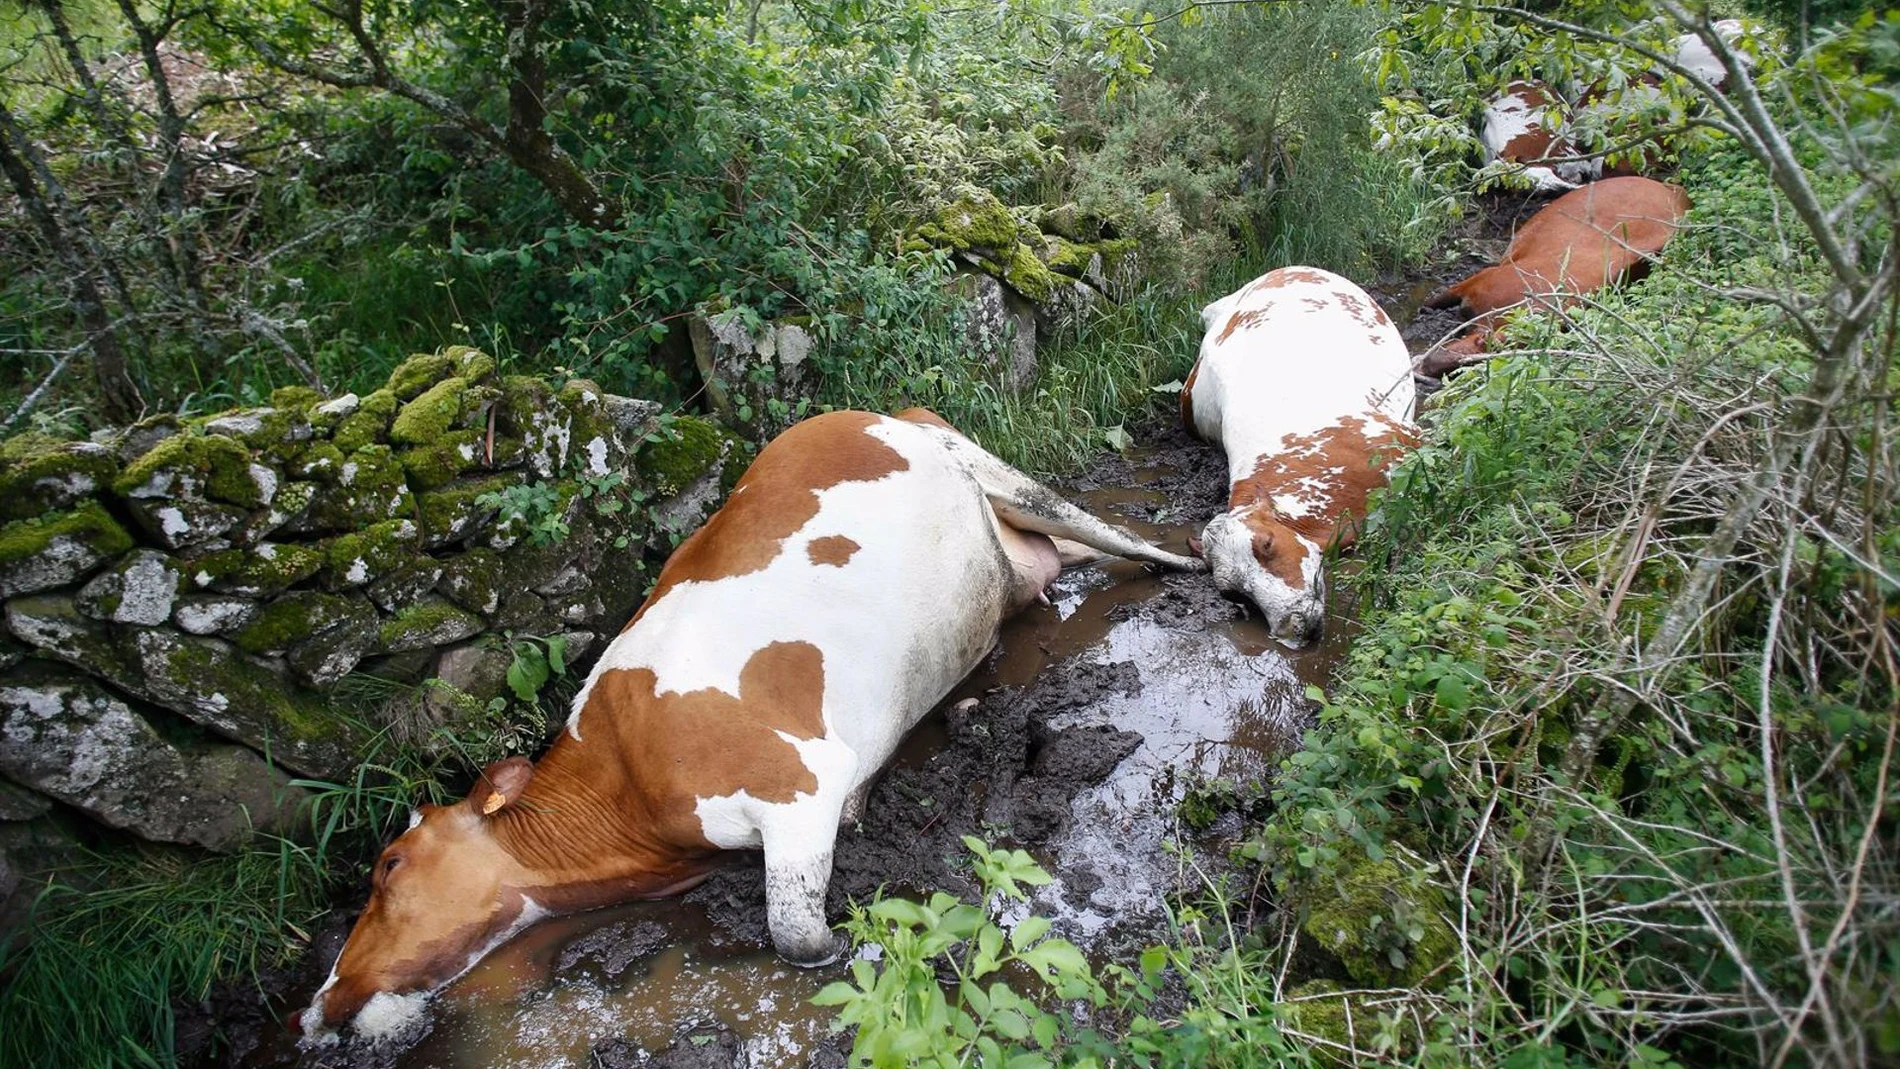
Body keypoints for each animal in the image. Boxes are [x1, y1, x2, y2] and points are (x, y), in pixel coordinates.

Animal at [297, 409, 1203, 1042]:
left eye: (388, 863)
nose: (320, 1000)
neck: (624, 804)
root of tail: (863, 410)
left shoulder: (799, 780)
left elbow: (798, 936)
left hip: (991, 469)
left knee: (1115, 532)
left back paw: (1198, 565)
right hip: (1011, 553)